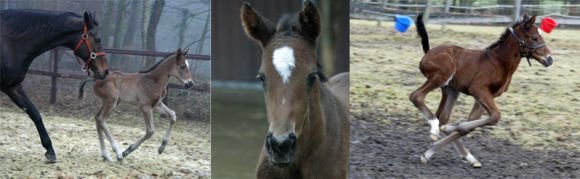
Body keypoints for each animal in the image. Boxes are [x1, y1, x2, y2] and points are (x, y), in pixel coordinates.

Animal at [410, 14, 556, 168]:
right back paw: (434, 128)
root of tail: (428, 52)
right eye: (534, 38)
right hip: (442, 76)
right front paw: (447, 131)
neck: (499, 62)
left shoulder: (486, 96)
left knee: (443, 117)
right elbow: (495, 116)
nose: (550, 59)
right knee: (416, 96)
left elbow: (472, 125)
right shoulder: (478, 90)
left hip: (451, 89)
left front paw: (430, 151)